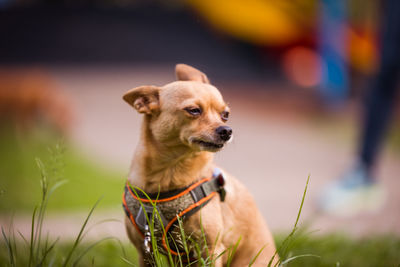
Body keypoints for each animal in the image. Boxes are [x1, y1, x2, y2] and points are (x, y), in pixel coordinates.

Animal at [123, 63, 276, 266]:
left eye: (225, 115)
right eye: (194, 110)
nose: (227, 130)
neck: (169, 172)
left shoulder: (210, 249)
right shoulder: (145, 251)